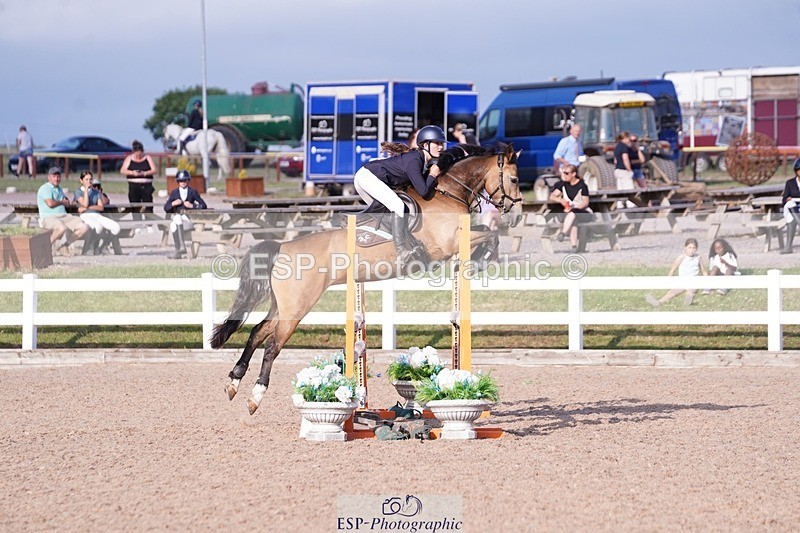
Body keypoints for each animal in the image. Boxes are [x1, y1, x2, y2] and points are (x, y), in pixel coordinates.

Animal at [211, 143, 523, 415]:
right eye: (515, 179)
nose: (518, 216)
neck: (450, 193)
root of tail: (283, 247)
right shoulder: (449, 244)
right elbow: (490, 235)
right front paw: (482, 258)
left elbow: (489, 234)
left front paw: (480, 259)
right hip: (297, 307)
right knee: (272, 345)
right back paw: (255, 397)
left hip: (284, 305)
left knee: (257, 332)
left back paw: (233, 382)